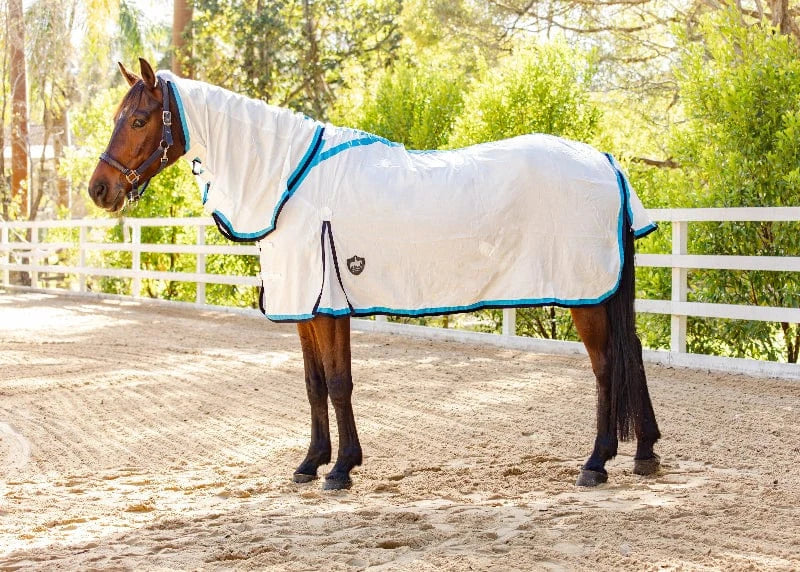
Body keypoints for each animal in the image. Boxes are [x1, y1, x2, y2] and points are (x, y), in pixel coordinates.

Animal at [88, 58, 661, 490]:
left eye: (138, 120)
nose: (99, 190)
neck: (291, 182)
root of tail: (606, 162)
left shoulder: (328, 303)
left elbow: (339, 383)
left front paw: (341, 469)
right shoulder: (304, 305)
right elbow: (314, 383)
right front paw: (310, 462)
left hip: (588, 292)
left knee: (606, 366)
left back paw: (596, 463)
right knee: (631, 352)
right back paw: (645, 454)